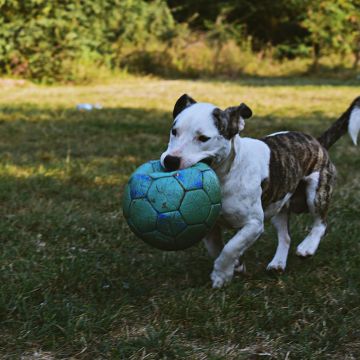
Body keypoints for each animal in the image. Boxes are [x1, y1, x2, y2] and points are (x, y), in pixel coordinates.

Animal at [160, 94, 360, 288]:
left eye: (203, 138)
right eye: (174, 131)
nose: (170, 160)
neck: (225, 175)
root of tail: (317, 142)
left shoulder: (254, 224)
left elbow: (231, 247)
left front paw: (221, 275)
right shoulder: (207, 224)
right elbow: (216, 248)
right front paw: (236, 265)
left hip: (317, 192)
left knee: (321, 222)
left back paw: (307, 247)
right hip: (279, 204)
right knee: (285, 236)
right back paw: (278, 263)